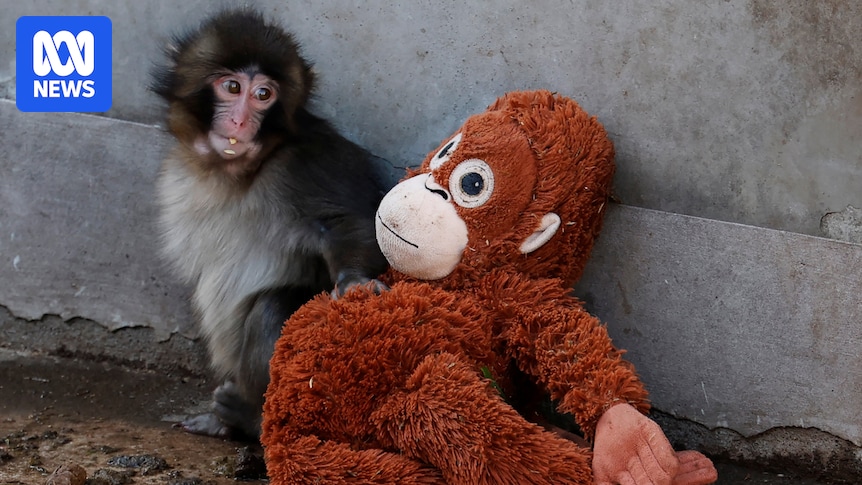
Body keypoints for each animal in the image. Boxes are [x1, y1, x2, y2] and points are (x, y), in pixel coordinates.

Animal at [150, 9, 389, 440]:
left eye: (264, 95)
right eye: (232, 87)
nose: (241, 120)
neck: (237, 172)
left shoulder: (306, 162)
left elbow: (349, 222)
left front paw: (354, 282)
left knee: (272, 309)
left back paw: (249, 418)